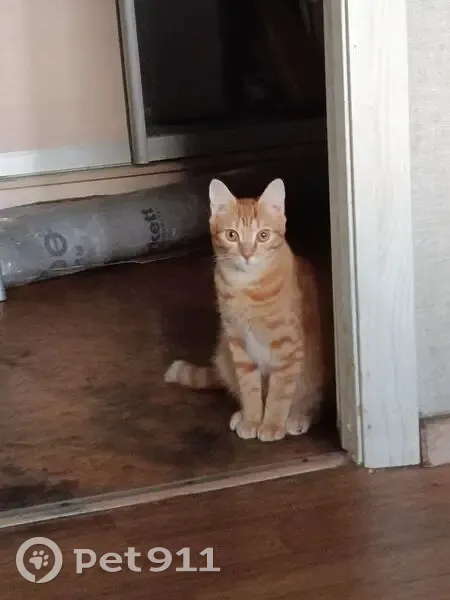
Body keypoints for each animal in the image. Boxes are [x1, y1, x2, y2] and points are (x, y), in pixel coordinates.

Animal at [164, 177, 332, 442]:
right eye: (232, 235)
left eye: (263, 235)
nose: (247, 253)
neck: (246, 288)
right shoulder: (239, 347)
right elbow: (250, 389)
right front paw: (252, 419)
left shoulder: (287, 348)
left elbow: (279, 393)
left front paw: (272, 424)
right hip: (224, 353)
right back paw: (241, 414)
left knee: (310, 401)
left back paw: (297, 417)